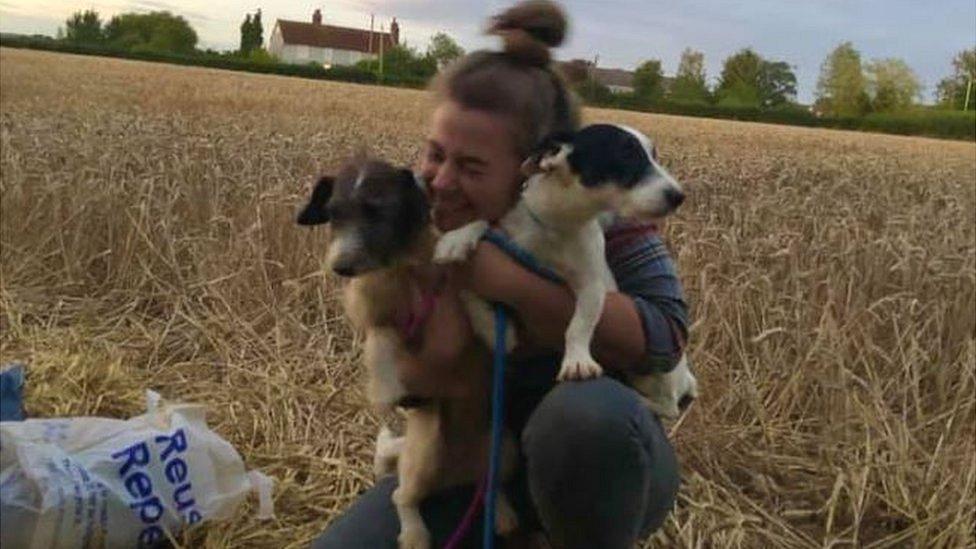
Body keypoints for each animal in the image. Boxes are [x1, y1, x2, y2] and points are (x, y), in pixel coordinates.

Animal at [438, 123, 696, 416]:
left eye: (653, 156)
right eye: (626, 155)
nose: (678, 196)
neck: (556, 223)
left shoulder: (592, 286)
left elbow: (579, 324)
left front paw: (577, 360)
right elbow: (470, 285)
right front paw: (458, 239)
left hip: (654, 374)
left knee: (669, 406)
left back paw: (643, 401)